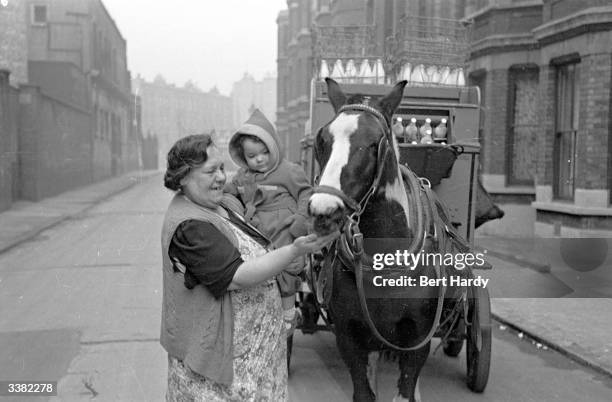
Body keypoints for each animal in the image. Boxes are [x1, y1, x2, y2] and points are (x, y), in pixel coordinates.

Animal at [308, 78, 466, 402]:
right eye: (322, 139)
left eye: (374, 143)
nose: (324, 210)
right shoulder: (350, 335)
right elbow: (364, 391)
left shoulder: (418, 337)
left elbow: (406, 390)